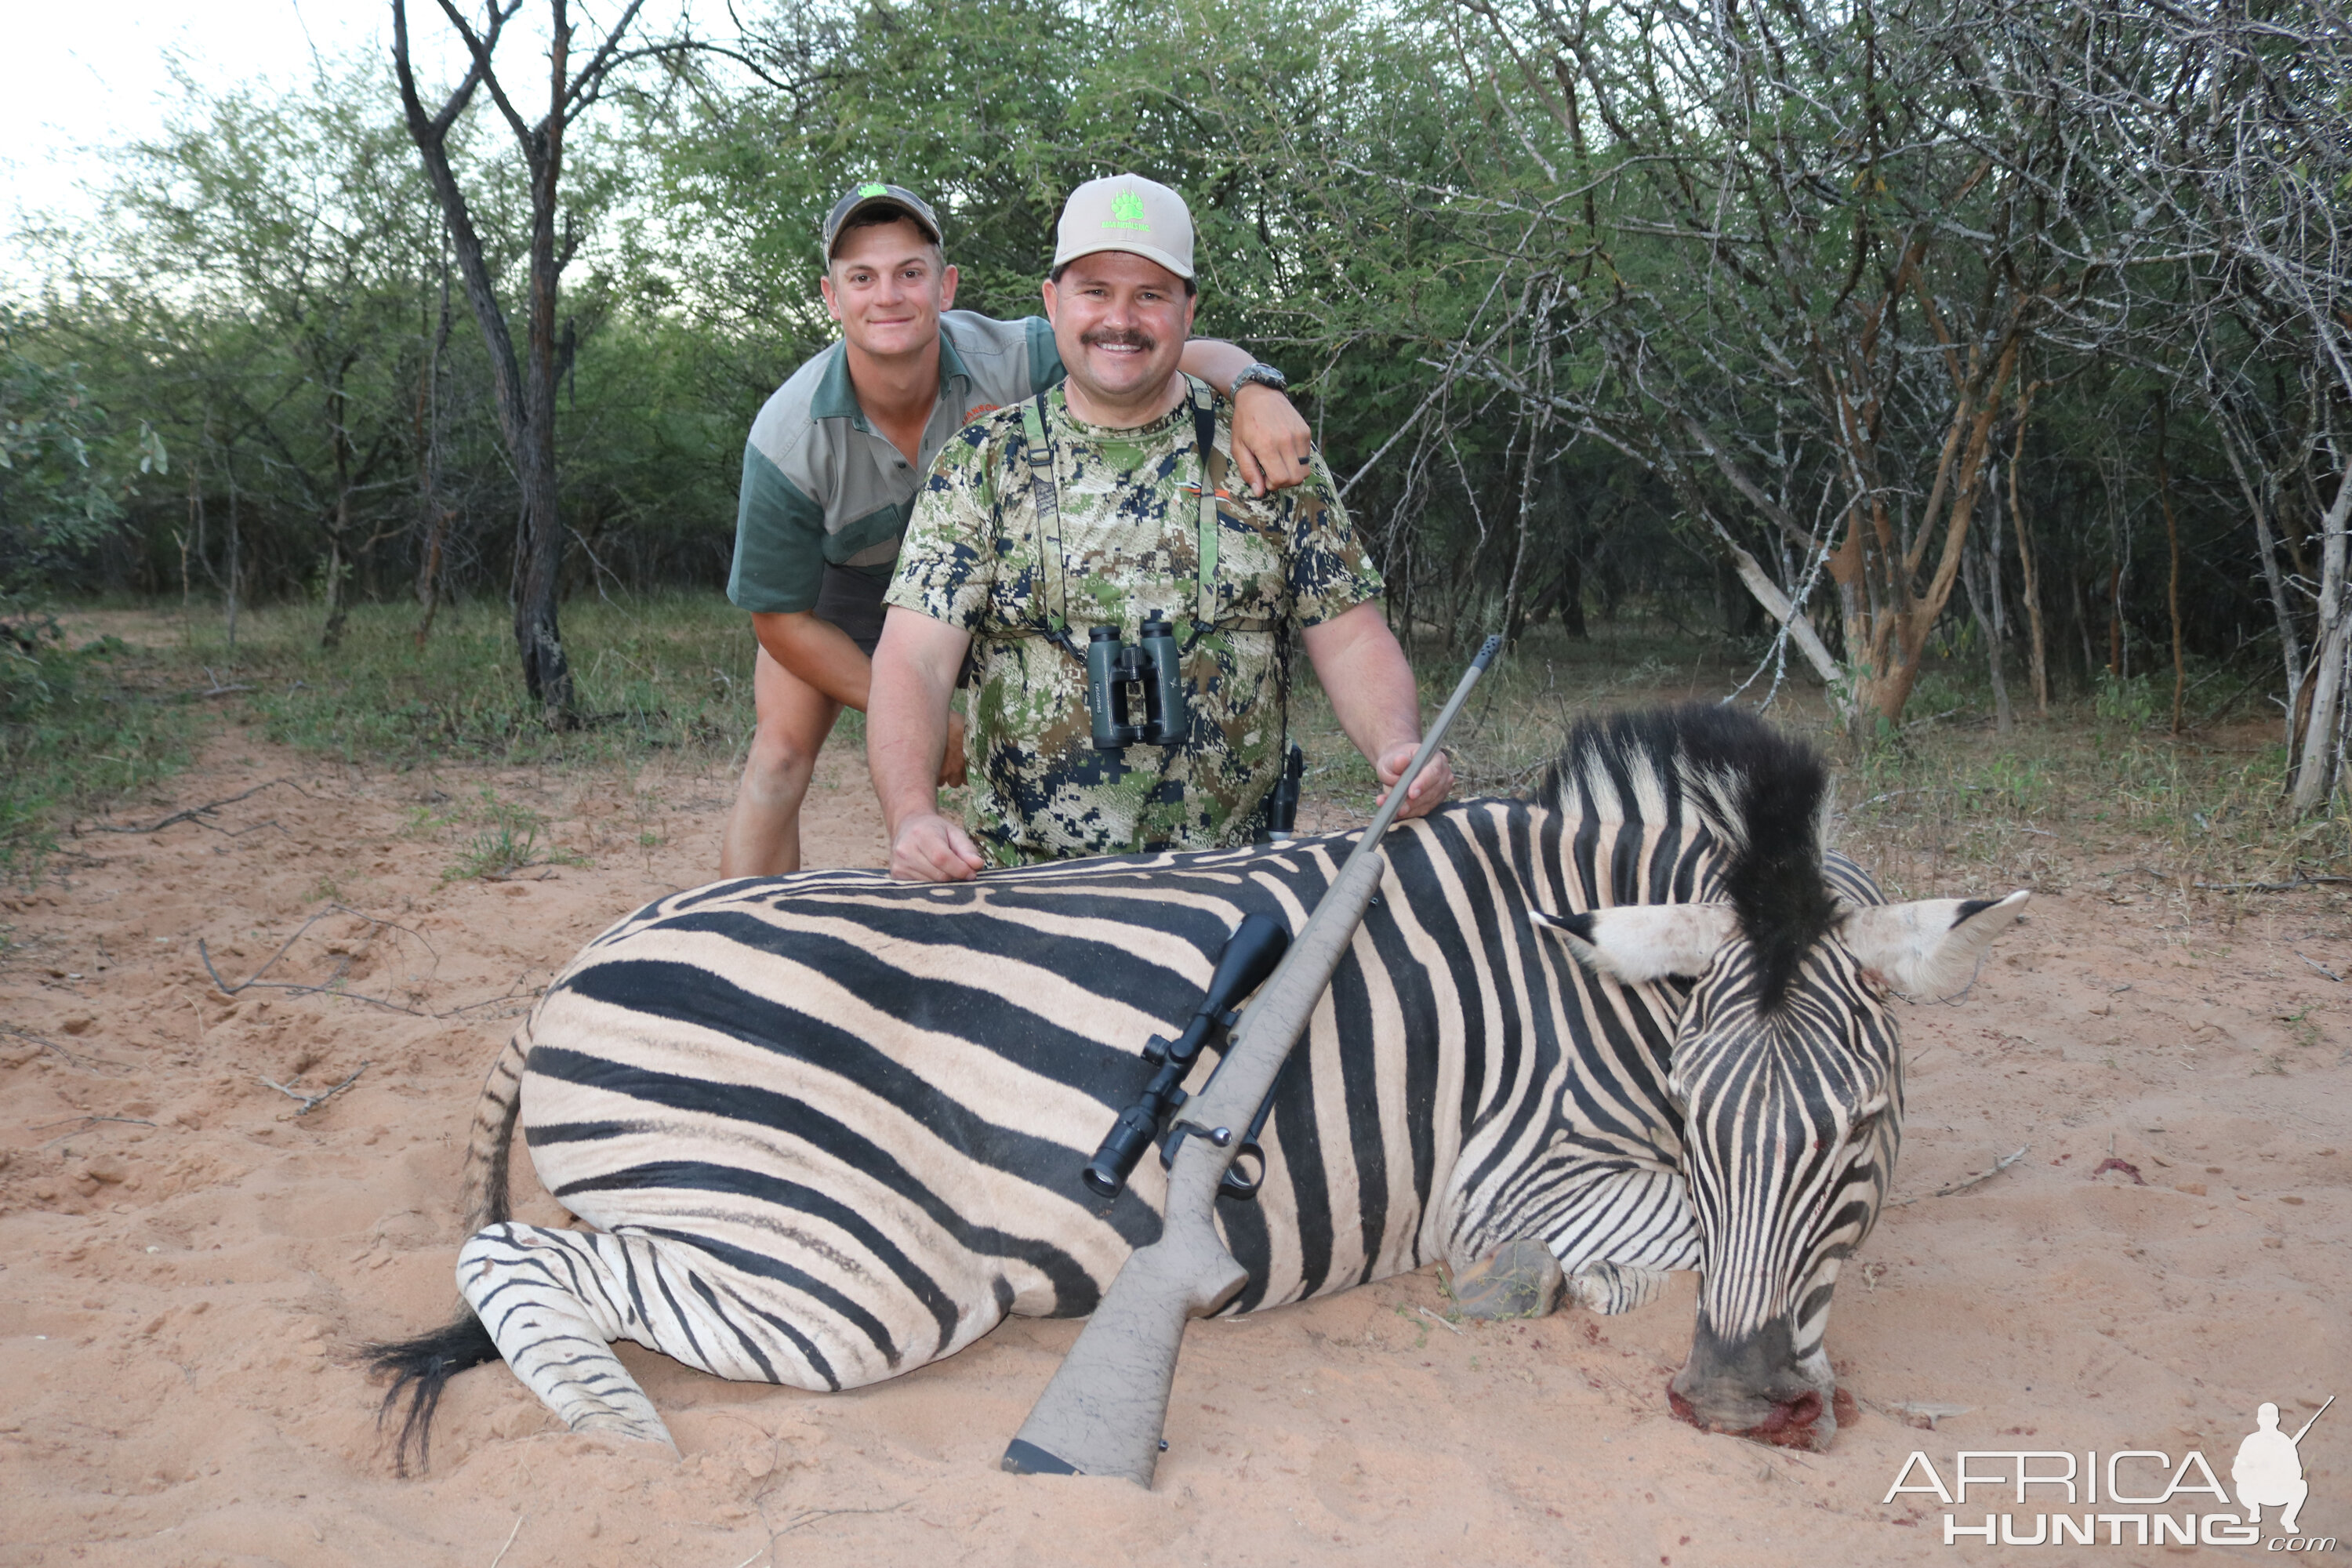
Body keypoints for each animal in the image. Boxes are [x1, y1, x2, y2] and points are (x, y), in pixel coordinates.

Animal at [367, 705, 2023, 1467]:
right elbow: (1649, 1237)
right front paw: (1557, 1283)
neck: (1580, 974)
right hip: (854, 1275)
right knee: (513, 1254)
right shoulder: (1514, 1167)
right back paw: (616, 1431)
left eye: (1865, 1129)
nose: (1740, 1408)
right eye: (1704, 1110)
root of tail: (579, 958)